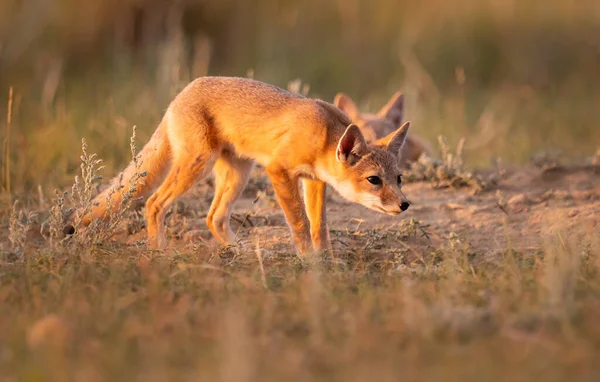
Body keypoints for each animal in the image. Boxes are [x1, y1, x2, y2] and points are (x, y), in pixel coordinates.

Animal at [68, 76, 410, 255]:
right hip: (198, 165)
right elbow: (300, 222)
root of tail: (182, 93)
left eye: (398, 178)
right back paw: (159, 251)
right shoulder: (279, 171)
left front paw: (325, 258)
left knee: (214, 218)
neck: (325, 133)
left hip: (237, 174)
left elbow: (319, 225)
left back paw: (240, 251)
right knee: (154, 203)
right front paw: (307, 259)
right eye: (374, 180)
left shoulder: (314, 180)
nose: (405, 204)